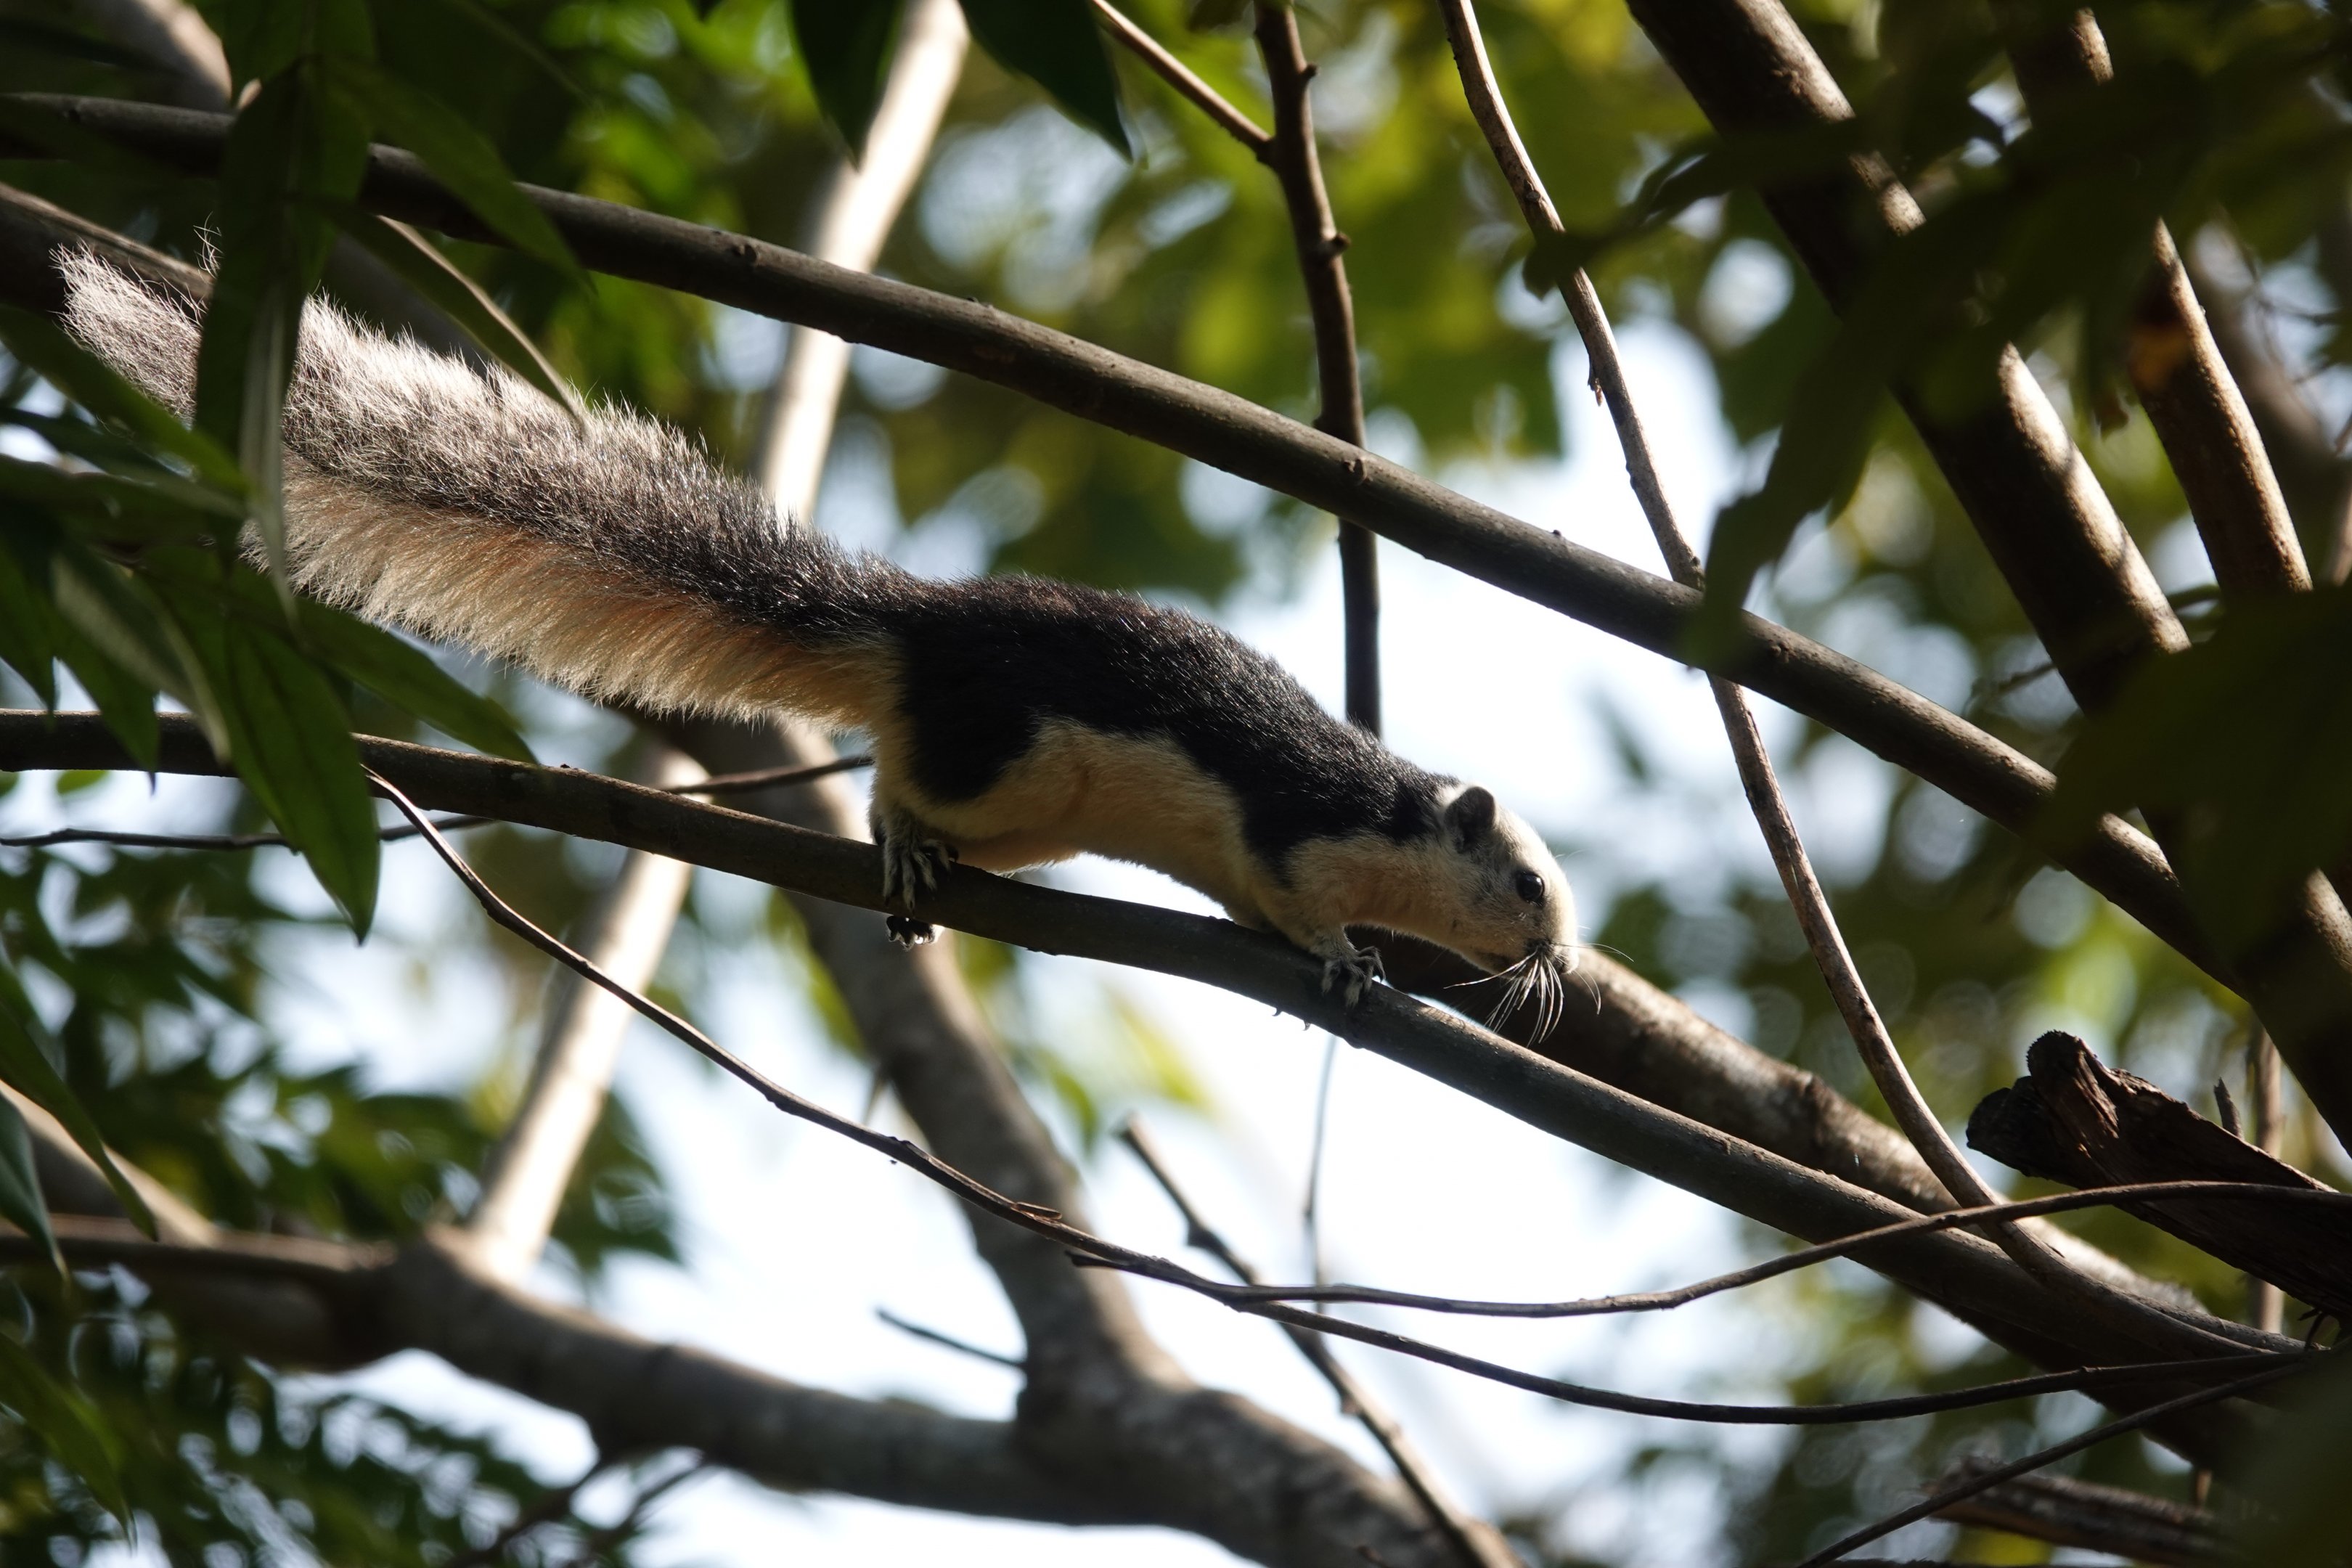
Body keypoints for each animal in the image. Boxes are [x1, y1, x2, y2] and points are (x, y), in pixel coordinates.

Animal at [63, 254, 1576, 1026]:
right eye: (1526, 882)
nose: (1558, 960)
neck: (1392, 809)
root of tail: (912, 632)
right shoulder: (1299, 825)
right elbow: (1298, 892)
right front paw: (1346, 960)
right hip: (1008, 756)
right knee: (902, 782)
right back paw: (898, 844)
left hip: (1033, 821)